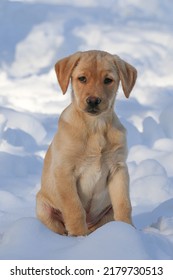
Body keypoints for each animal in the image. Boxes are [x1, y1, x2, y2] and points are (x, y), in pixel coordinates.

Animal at [36, 50, 137, 236]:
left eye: (108, 80)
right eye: (82, 78)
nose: (93, 101)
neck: (95, 127)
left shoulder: (118, 168)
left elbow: (124, 204)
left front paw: (127, 231)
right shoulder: (65, 171)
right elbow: (74, 209)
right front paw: (78, 237)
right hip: (42, 207)